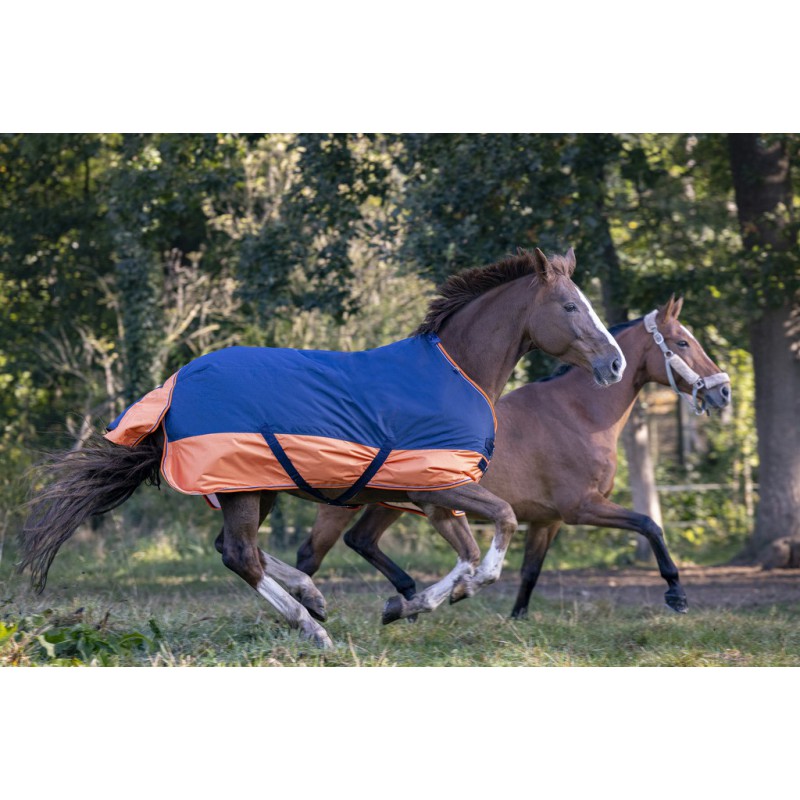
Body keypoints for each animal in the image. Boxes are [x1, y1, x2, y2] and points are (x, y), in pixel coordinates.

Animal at [19, 247, 625, 648]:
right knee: (240, 555)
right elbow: (498, 532)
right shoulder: (438, 489)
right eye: (570, 307)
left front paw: (409, 604)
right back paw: (311, 626)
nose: (615, 363)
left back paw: (314, 597)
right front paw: (424, 600)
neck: (454, 373)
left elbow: (470, 555)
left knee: (236, 550)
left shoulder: (436, 499)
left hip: (256, 488)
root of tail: (174, 388)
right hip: (242, 488)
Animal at [296, 296, 731, 620]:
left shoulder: (547, 520)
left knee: (361, 541)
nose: (723, 391)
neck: (578, 413)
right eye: (682, 343)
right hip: (343, 504)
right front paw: (676, 595)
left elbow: (530, 572)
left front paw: (515, 619)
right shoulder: (581, 507)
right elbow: (650, 525)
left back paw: (407, 599)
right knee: (310, 556)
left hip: (390, 503)